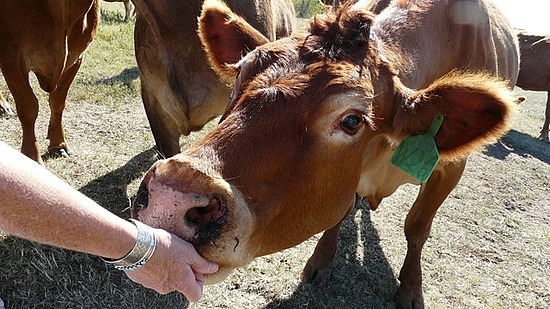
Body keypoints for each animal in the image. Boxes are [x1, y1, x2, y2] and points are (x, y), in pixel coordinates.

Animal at [0, 0, 101, 164]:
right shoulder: (10, 56)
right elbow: (28, 107)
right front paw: (31, 156)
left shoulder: (77, 57)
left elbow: (58, 102)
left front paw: (59, 144)